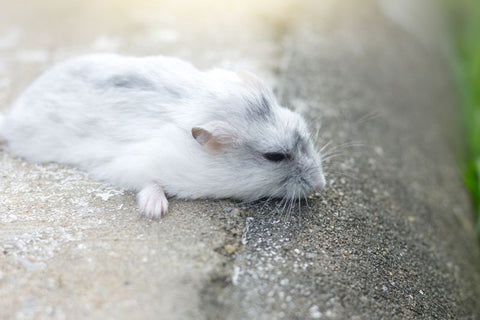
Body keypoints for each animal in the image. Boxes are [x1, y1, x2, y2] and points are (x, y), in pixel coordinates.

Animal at [0, 54, 326, 218]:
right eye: (274, 156)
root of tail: (12, 114)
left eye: (304, 135)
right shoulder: (131, 166)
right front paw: (155, 211)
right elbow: (150, 183)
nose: (321, 186)